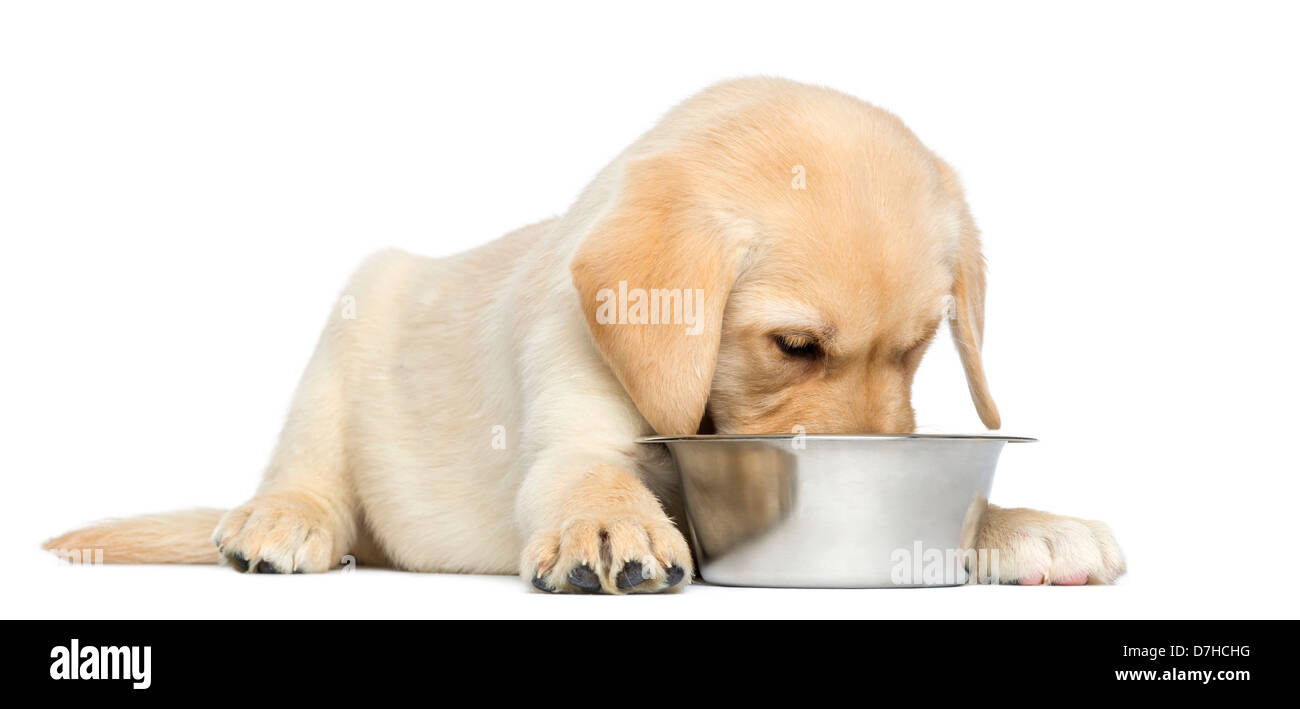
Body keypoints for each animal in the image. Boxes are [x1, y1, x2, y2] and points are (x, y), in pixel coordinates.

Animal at [45, 76, 1123, 590]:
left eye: (917, 348)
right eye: (794, 346)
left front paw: (1018, 525)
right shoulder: (568, 420)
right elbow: (585, 475)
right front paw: (610, 524)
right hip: (353, 319)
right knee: (309, 465)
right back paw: (281, 519)